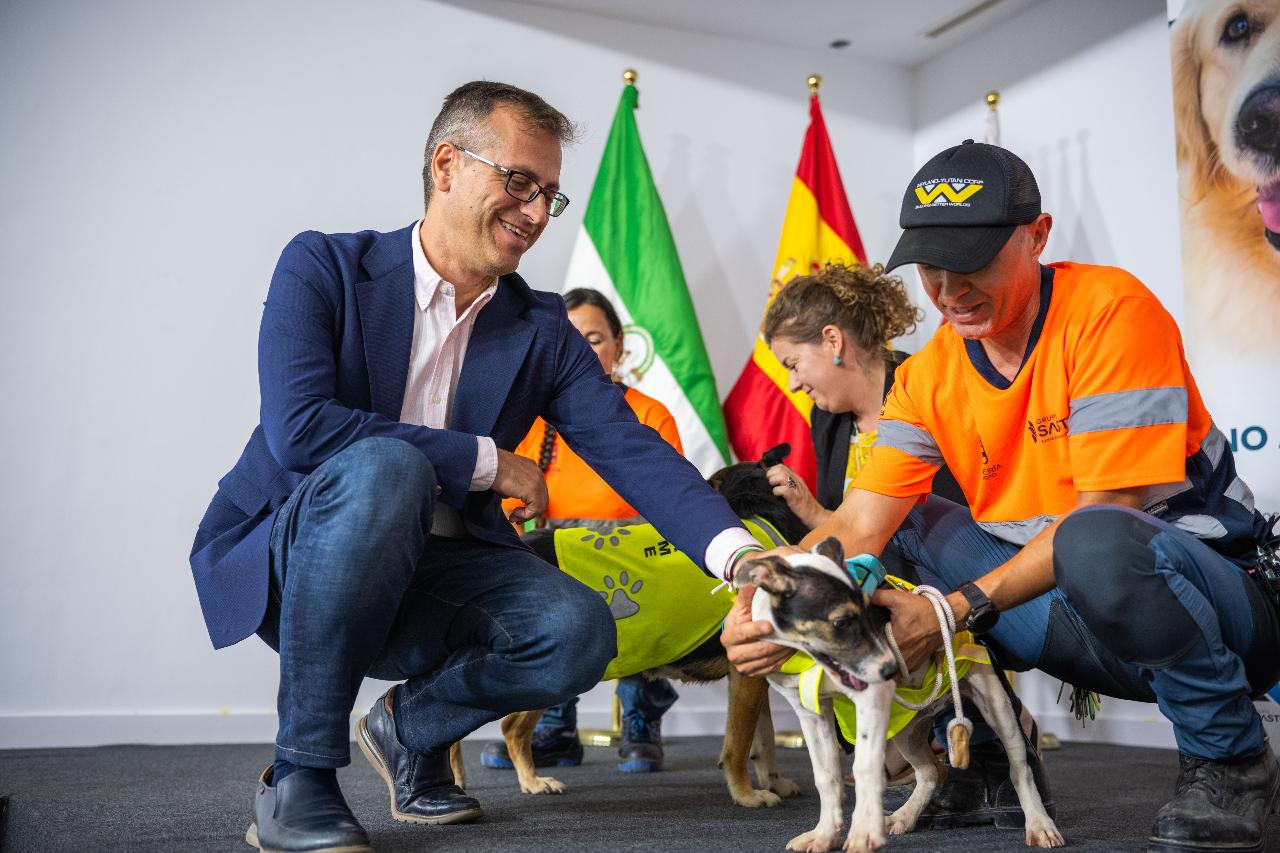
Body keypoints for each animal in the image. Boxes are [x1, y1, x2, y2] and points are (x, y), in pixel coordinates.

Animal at [737, 537, 1064, 850]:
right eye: (840, 622)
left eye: (869, 613)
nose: (891, 669)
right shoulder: (810, 712)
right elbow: (826, 778)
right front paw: (824, 836)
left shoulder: (871, 697)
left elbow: (865, 767)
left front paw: (863, 834)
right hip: (904, 729)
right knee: (932, 771)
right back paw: (904, 817)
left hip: (995, 701)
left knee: (1019, 767)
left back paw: (1039, 824)